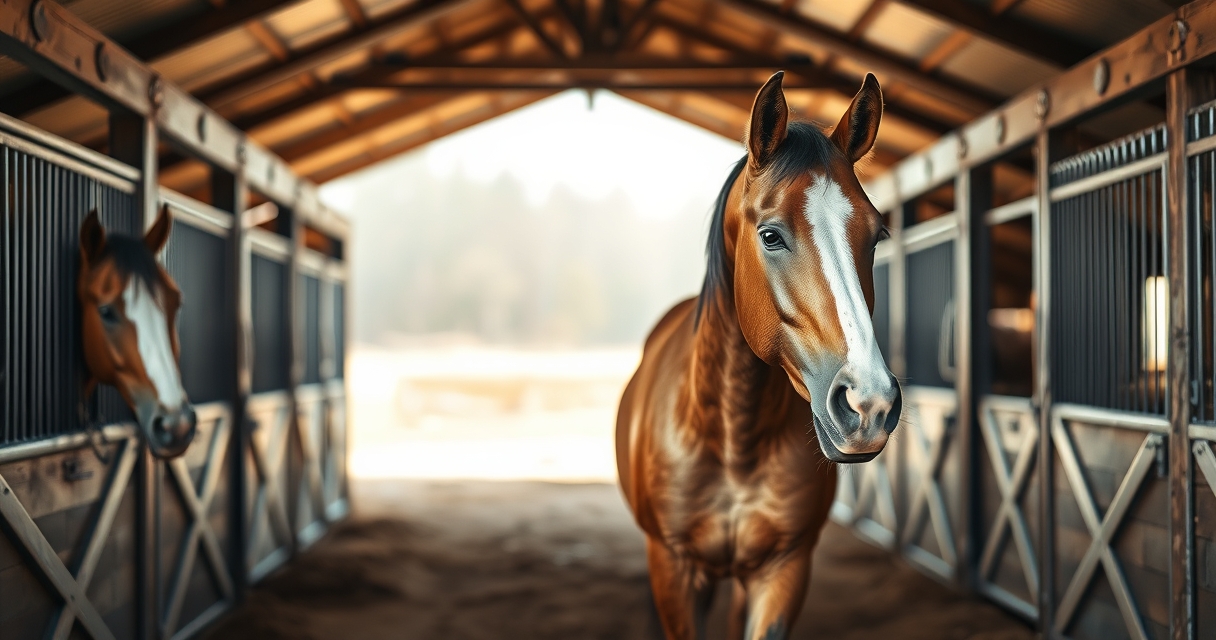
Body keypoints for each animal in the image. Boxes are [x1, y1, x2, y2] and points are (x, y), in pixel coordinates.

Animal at [615, 71, 902, 640]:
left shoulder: (783, 570)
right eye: (770, 235)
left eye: (877, 235)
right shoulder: (674, 569)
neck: (733, 440)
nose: (870, 406)